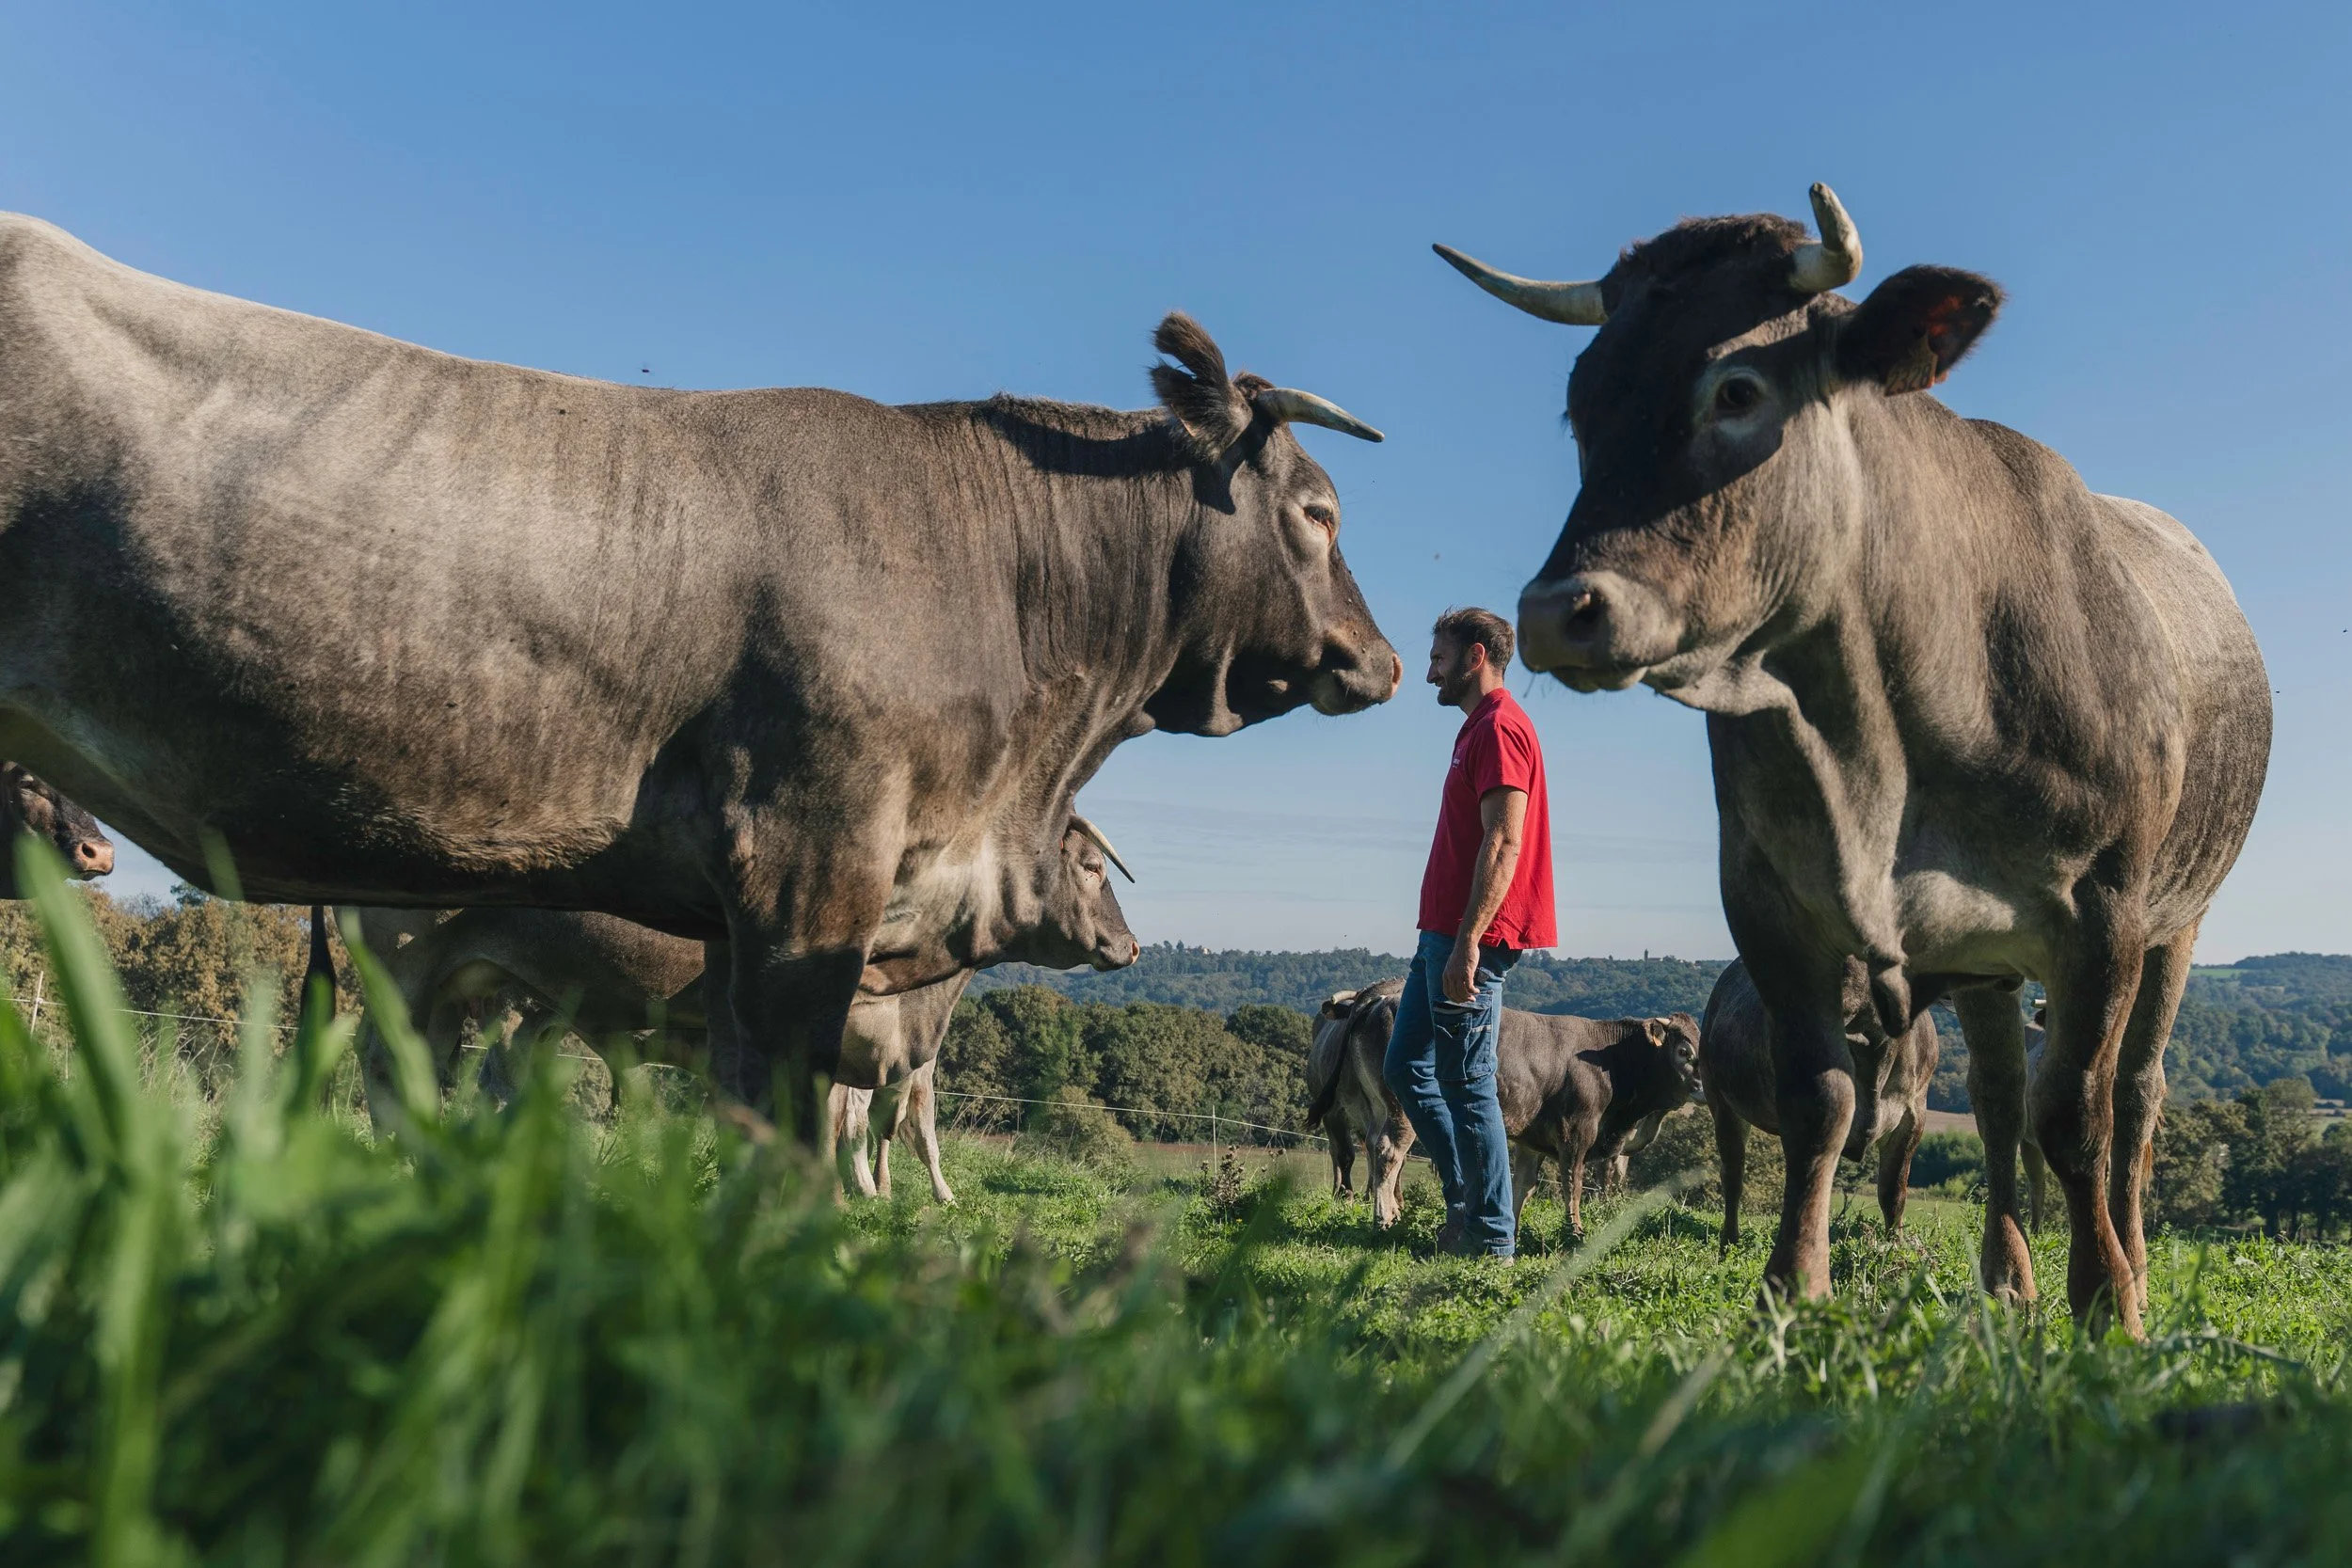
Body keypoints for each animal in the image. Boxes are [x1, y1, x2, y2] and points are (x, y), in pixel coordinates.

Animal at [1699, 957, 1937, 1250]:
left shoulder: (1911, 1118)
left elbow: (1893, 1192)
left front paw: (1896, 1246)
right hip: (1721, 1101)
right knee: (1733, 1174)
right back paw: (1729, 1241)